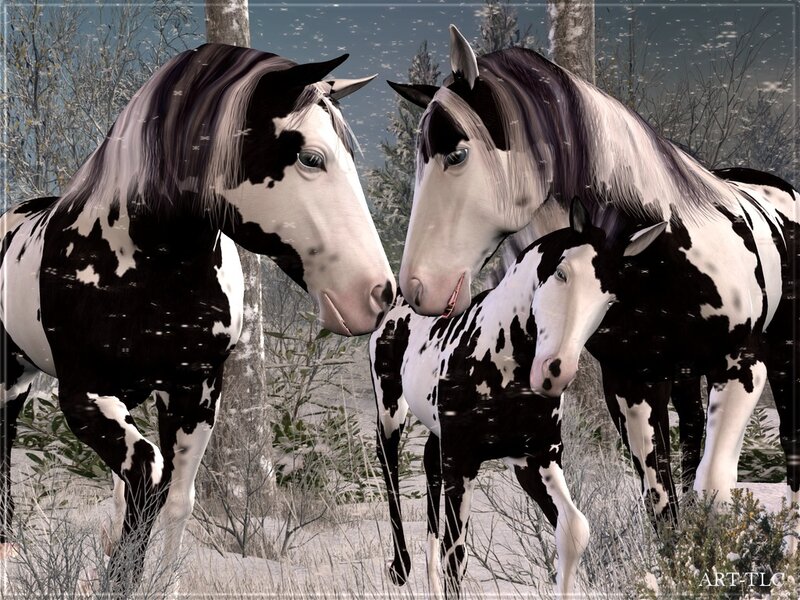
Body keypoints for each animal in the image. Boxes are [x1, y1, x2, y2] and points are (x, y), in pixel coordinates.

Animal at [0, 43, 394, 595]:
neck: (148, 263)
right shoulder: (82, 395)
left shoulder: (197, 392)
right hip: (11, 382)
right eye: (311, 157)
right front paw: (118, 582)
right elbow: (148, 475)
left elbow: (176, 500)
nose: (378, 293)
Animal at [368, 201, 664, 597]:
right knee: (389, 465)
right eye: (562, 273)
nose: (555, 373)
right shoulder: (462, 463)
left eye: (609, 299)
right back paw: (399, 567)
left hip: (438, 436)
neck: (503, 363)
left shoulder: (535, 458)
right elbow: (455, 555)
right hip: (390, 406)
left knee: (429, 476)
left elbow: (574, 530)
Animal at [388, 25, 799, 536]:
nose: (418, 288)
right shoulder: (631, 386)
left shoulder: (742, 368)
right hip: (685, 380)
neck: (662, 265)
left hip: (782, 359)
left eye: (457, 154)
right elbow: (662, 503)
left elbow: (712, 490)